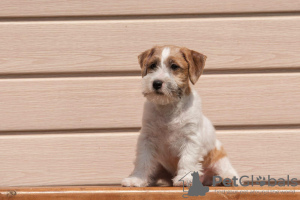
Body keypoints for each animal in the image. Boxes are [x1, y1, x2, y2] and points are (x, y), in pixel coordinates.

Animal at [120, 45, 238, 188]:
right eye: (153, 65)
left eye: (174, 66)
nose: (156, 83)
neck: (168, 107)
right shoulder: (147, 138)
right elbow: (143, 159)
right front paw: (136, 179)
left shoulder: (190, 138)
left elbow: (187, 159)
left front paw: (185, 178)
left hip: (219, 157)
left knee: (228, 170)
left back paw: (228, 178)